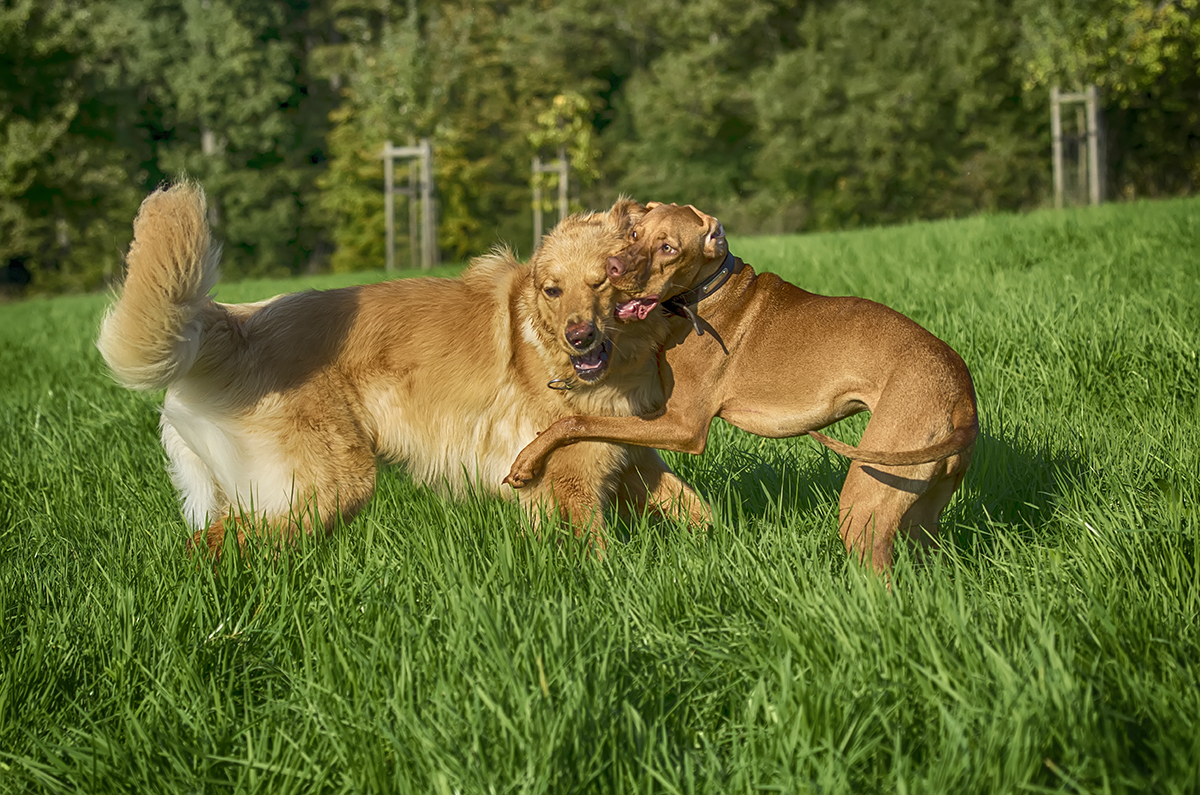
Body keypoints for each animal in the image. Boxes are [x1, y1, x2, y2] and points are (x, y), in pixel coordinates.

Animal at [103, 183, 705, 557]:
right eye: (552, 290)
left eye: (606, 279)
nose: (578, 339)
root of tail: (241, 321)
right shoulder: (572, 479)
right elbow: (597, 553)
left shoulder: (631, 461)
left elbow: (698, 510)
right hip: (327, 484)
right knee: (218, 544)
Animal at [501, 202, 979, 569]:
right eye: (634, 233)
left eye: (668, 248)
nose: (612, 268)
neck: (704, 296)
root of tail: (963, 400)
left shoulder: (684, 427)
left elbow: (577, 421)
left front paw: (525, 463)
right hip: (920, 514)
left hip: (864, 502)